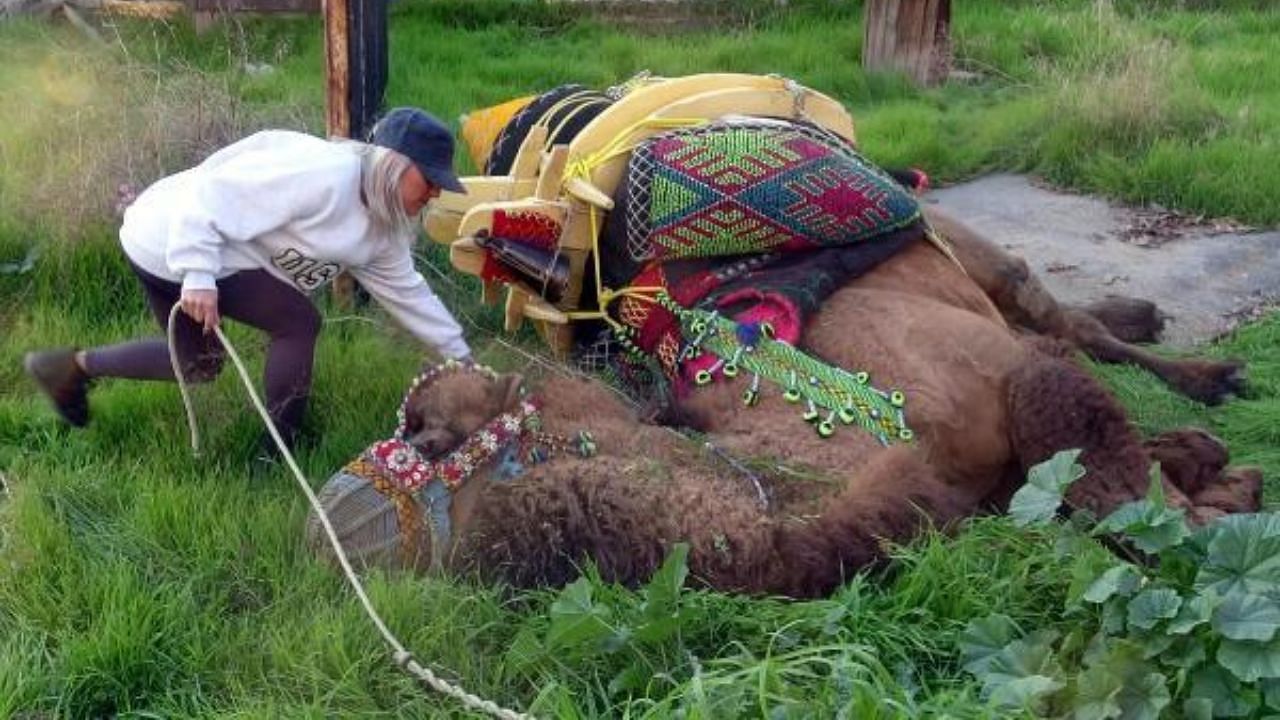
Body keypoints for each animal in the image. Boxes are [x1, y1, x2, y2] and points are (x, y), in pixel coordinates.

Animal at [312, 208, 1259, 599]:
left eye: (427, 433)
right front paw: (1216, 474)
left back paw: (1208, 373)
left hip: (979, 258)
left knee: (1064, 319)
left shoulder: (1015, 378)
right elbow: (1094, 488)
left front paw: (1220, 509)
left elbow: (1114, 486)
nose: (326, 527)